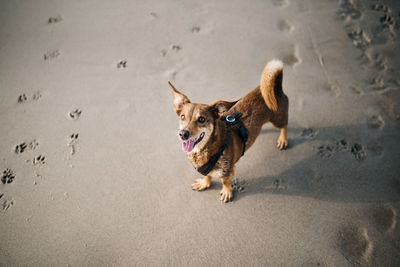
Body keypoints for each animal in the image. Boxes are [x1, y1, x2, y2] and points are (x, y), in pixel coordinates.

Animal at [169, 60, 288, 203]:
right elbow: (208, 176)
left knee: (284, 126)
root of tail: (276, 87)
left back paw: (283, 140)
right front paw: (204, 183)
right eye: (182, 117)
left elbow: (225, 181)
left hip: (277, 120)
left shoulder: (228, 170)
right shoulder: (208, 170)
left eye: (201, 119)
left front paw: (227, 192)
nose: (183, 134)